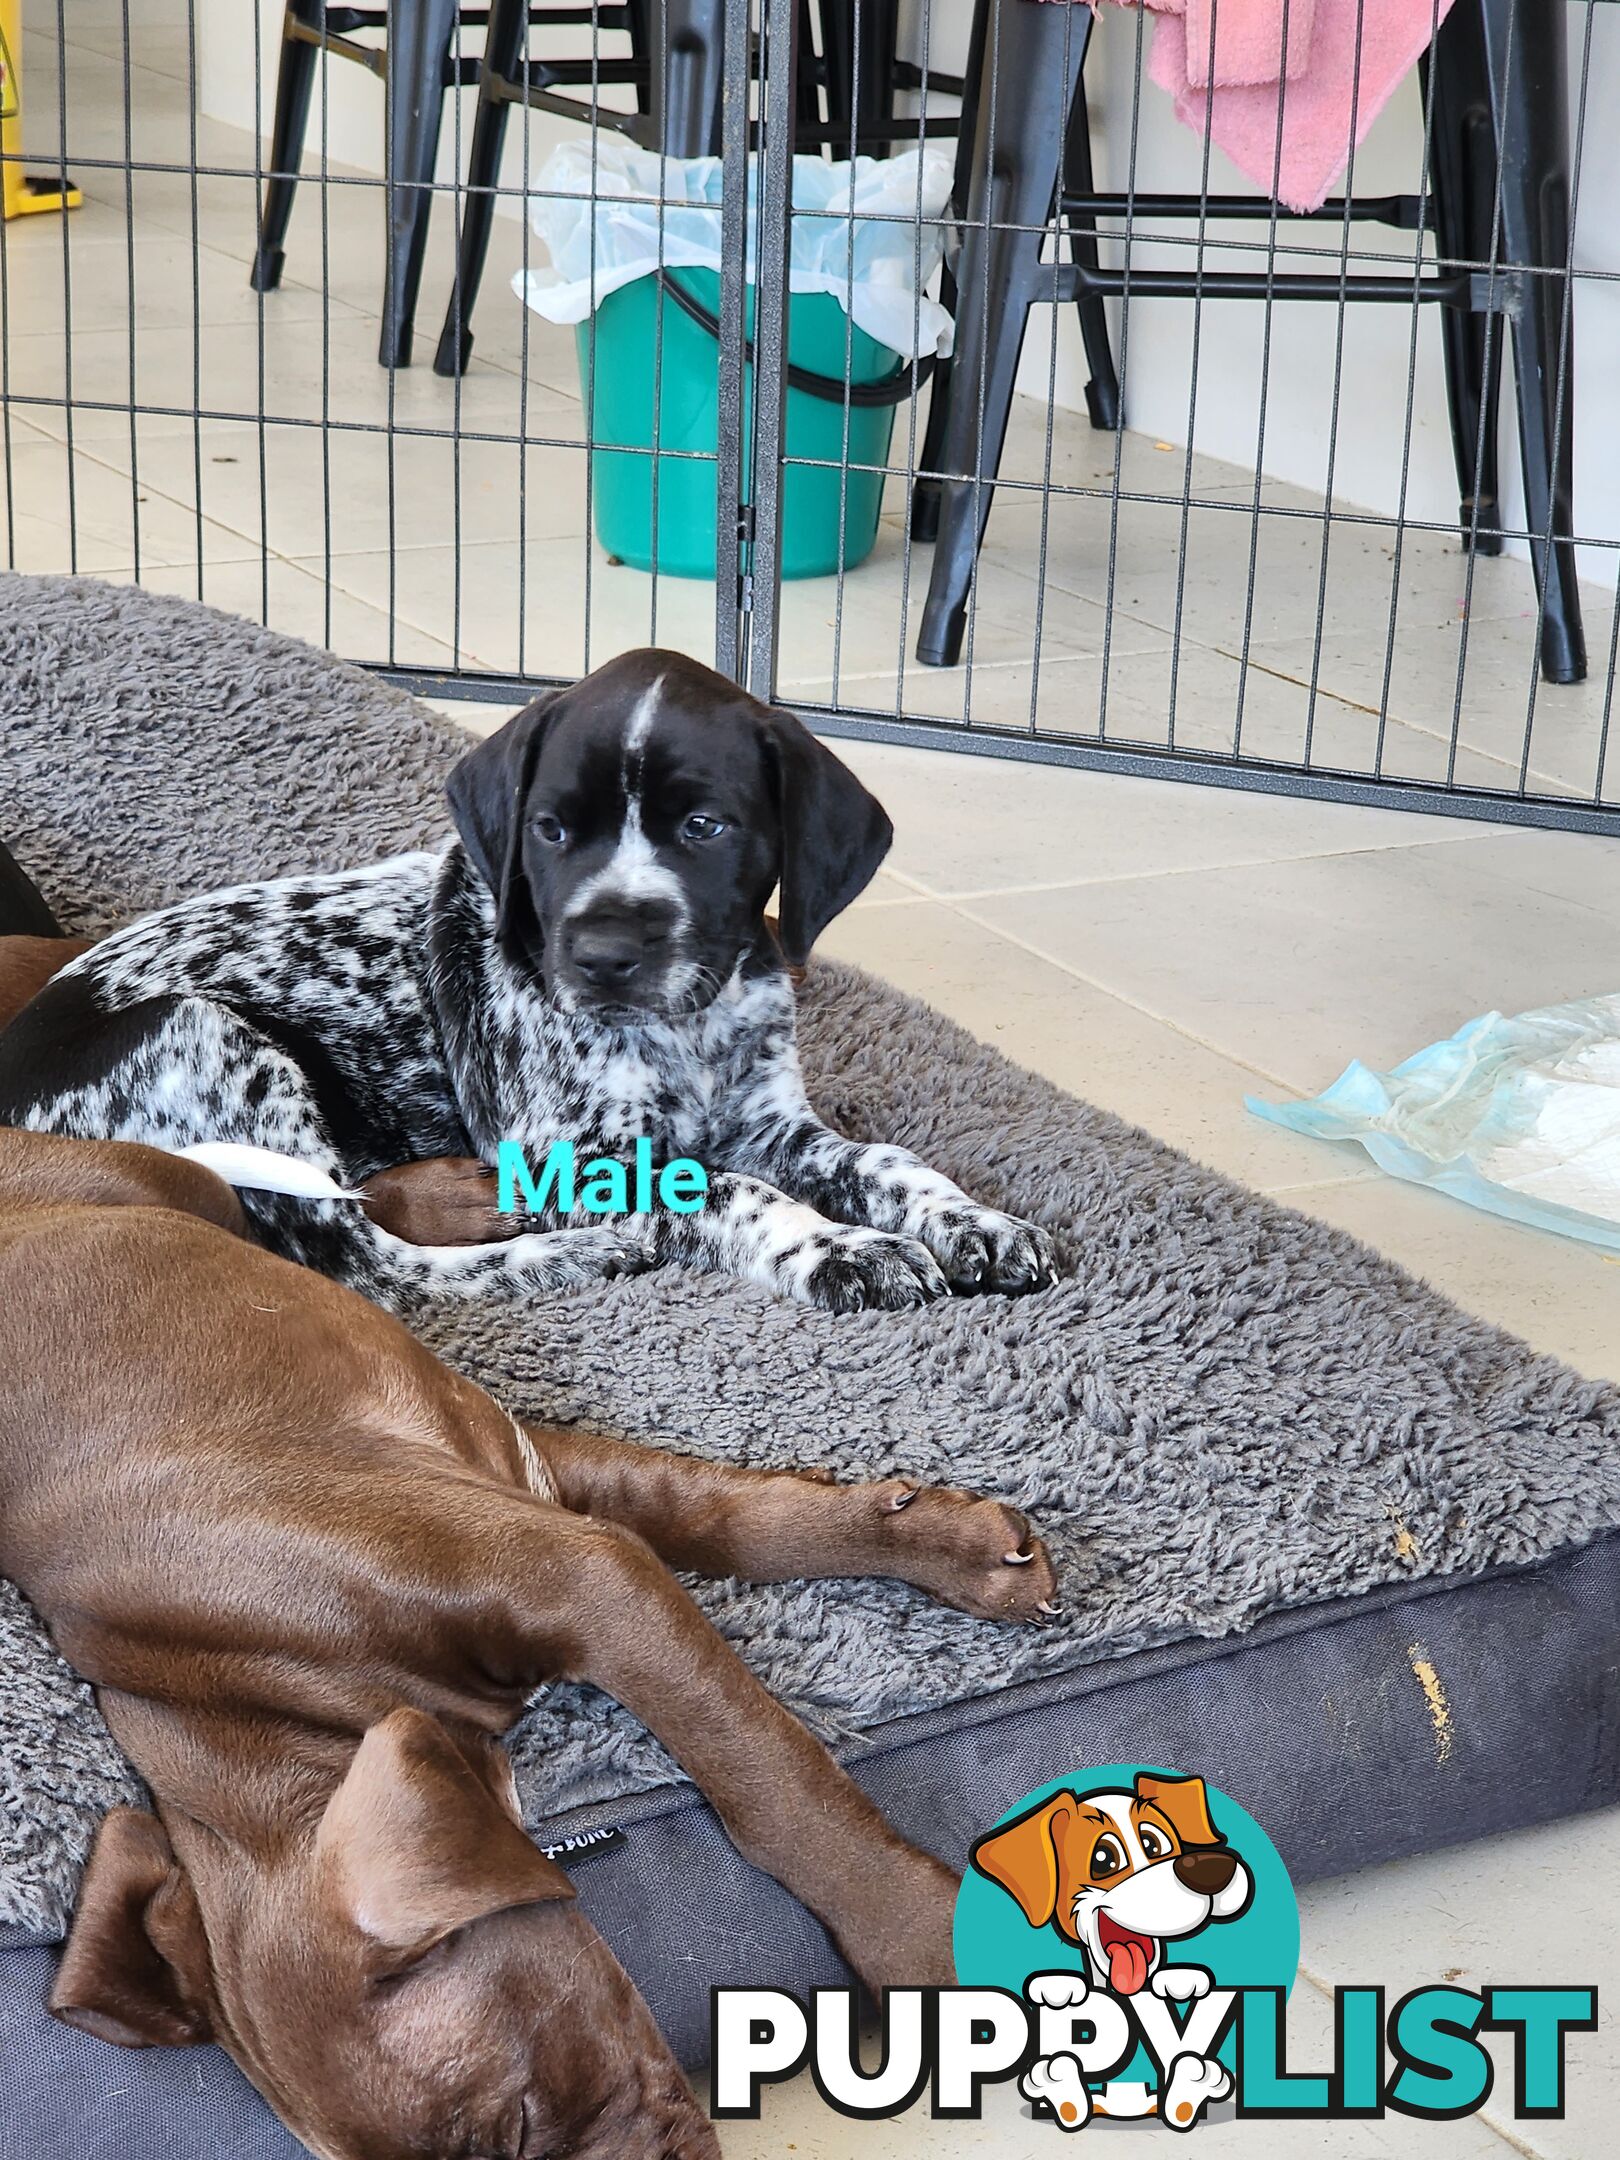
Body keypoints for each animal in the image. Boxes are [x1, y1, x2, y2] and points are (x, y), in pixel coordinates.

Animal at [0, 643, 1058, 1313]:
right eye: (549, 829)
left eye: (703, 827)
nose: (602, 956)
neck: (688, 1029)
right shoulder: (580, 1155)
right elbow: (732, 1193)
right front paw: (844, 1248)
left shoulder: (769, 1121)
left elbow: (885, 1161)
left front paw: (975, 1220)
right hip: (210, 1036)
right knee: (374, 1268)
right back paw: (580, 1253)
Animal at [0, 1105, 1067, 2151]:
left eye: (510, 2124)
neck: (260, 1690)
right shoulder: (547, 1507)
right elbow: (721, 1528)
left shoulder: (568, 1559)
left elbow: (767, 1762)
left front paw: (919, 1942)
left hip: (171, 1185)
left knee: (299, 1212)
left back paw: (450, 1193)